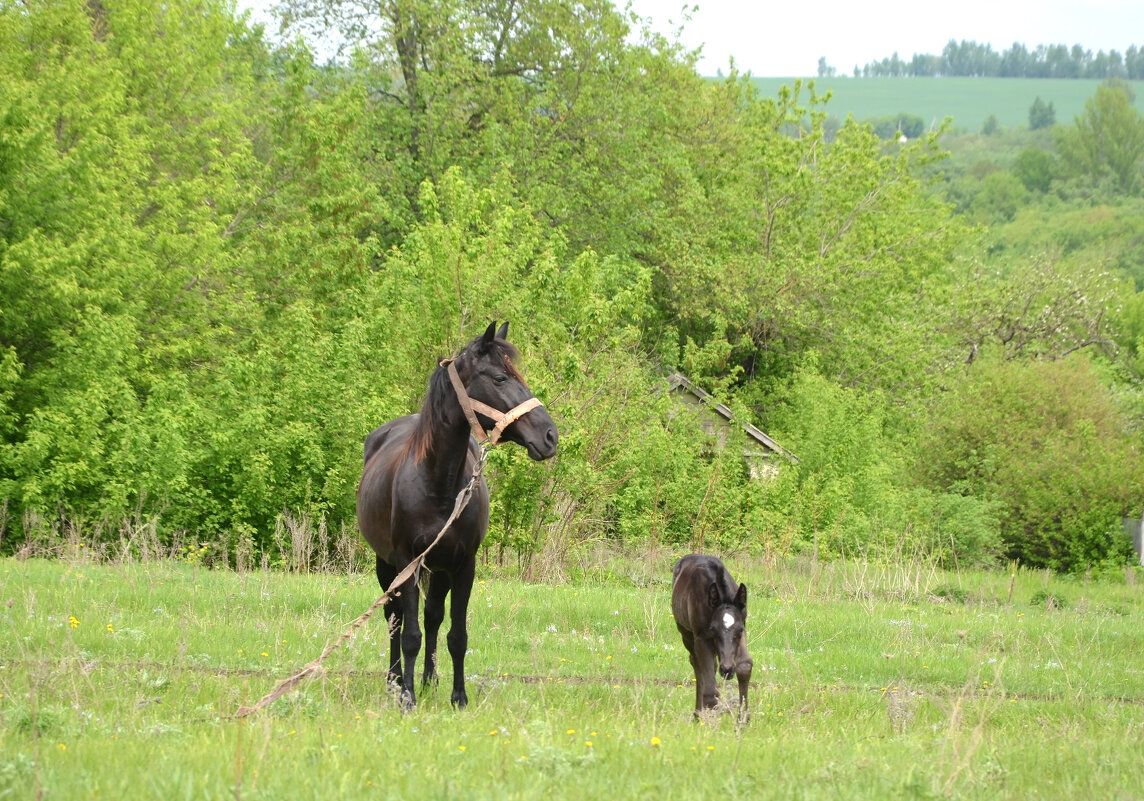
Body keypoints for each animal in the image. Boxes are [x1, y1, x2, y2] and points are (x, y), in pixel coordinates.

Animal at [354, 318, 555, 704]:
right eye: (500, 378)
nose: (550, 436)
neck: (437, 480)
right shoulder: (408, 562)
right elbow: (410, 635)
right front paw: (408, 698)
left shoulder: (463, 565)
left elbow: (456, 636)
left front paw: (458, 697)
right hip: (386, 564)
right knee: (393, 616)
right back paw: (395, 679)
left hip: (440, 568)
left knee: (432, 615)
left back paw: (429, 679)